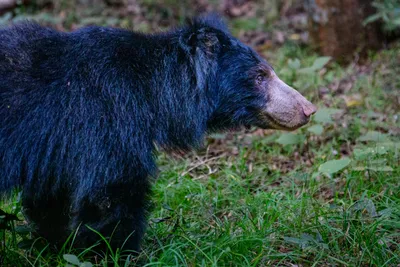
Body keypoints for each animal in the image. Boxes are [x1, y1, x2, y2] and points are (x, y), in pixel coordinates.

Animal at [0, 14, 316, 252]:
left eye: (268, 71)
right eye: (260, 76)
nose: (308, 109)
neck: (152, 91)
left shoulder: (55, 144)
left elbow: (51, 193)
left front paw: (56, 243)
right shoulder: (106, 118)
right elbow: (112, 191)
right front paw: (116, 251)